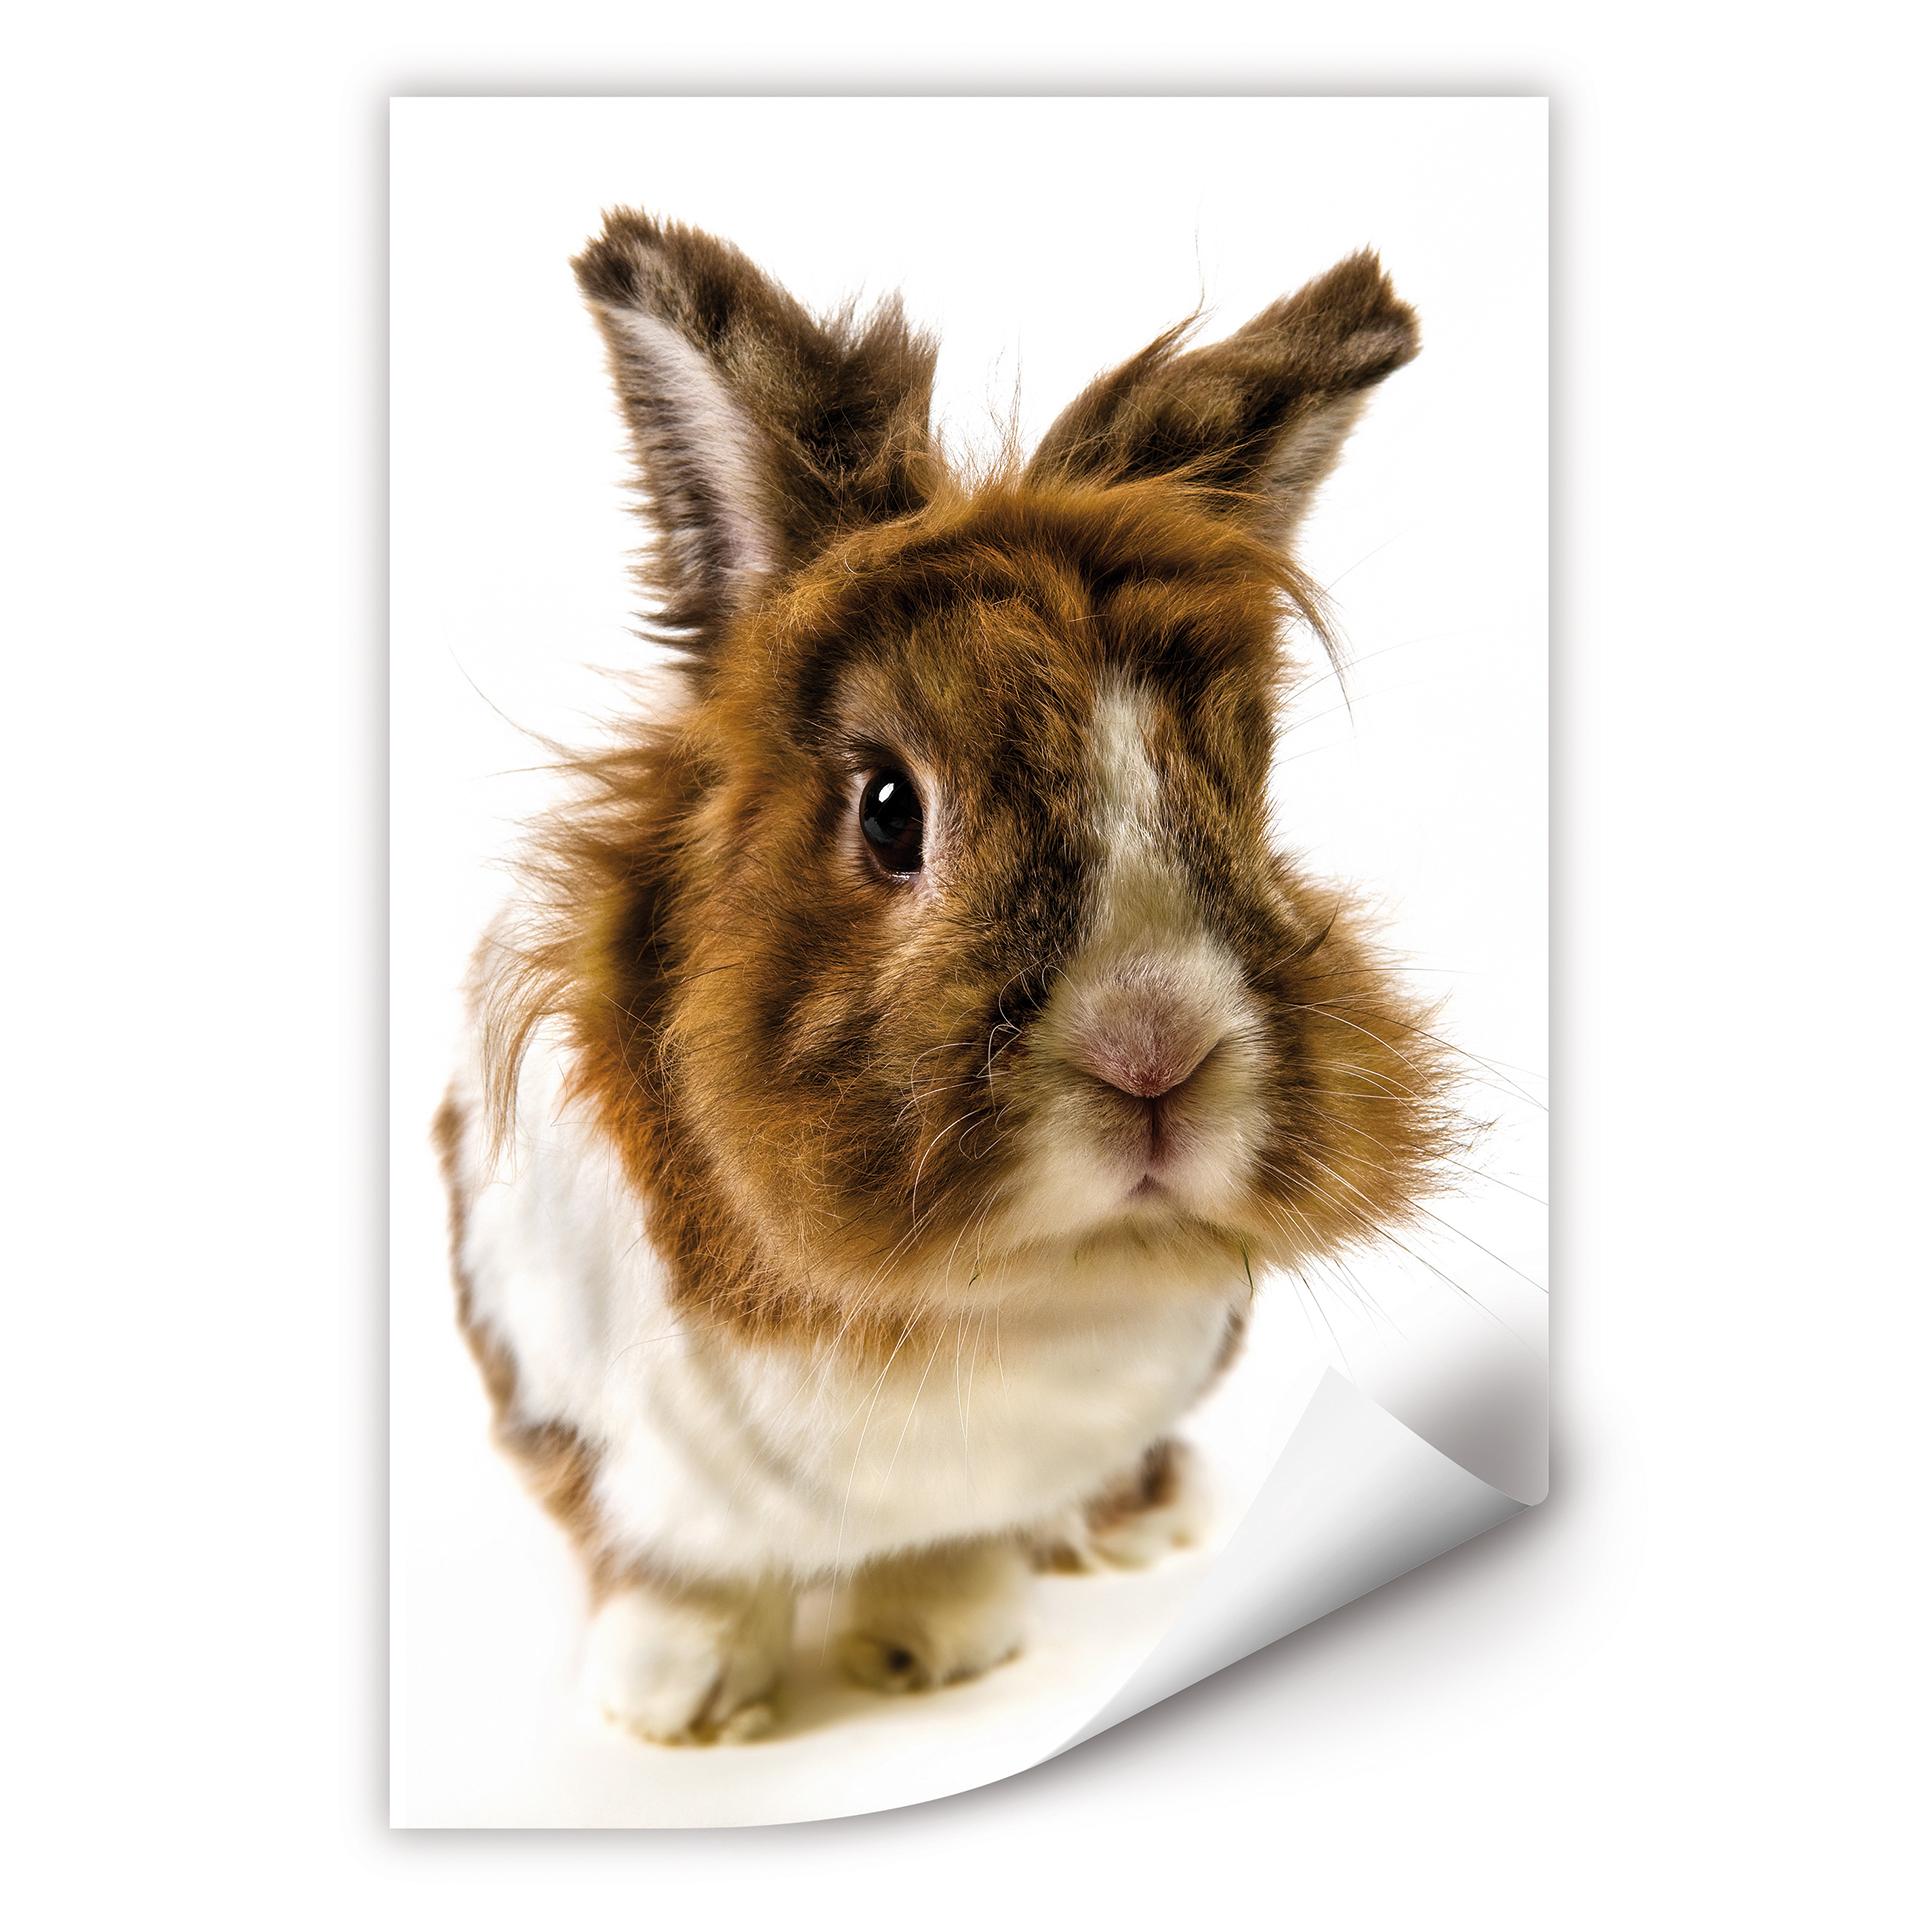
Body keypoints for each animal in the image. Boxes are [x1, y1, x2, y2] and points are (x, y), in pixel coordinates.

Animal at [434, 208, 1455, 1744]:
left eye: (1243, 792)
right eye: (888, 812)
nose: (1154, 1057)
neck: (959, 1303)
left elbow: (954, 1548)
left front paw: (932, 1649)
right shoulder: (571, 1400)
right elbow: (666, 1570)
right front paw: (678, 1706)